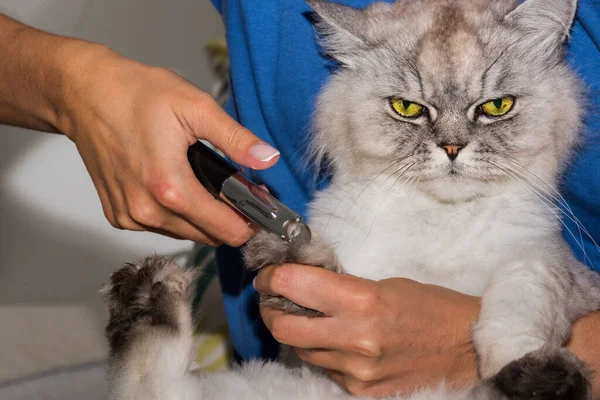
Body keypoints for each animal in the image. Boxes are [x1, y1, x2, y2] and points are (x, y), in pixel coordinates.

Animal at [102, 0, 600, 398]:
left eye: (496, 107)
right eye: (407, 109)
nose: (452, 149)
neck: (442, 221)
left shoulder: (553, 265)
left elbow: (516, 305)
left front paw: (510, 357)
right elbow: (316, 269)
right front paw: (288, 255)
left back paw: (543, 378)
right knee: (151, 382)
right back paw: (147, 293)